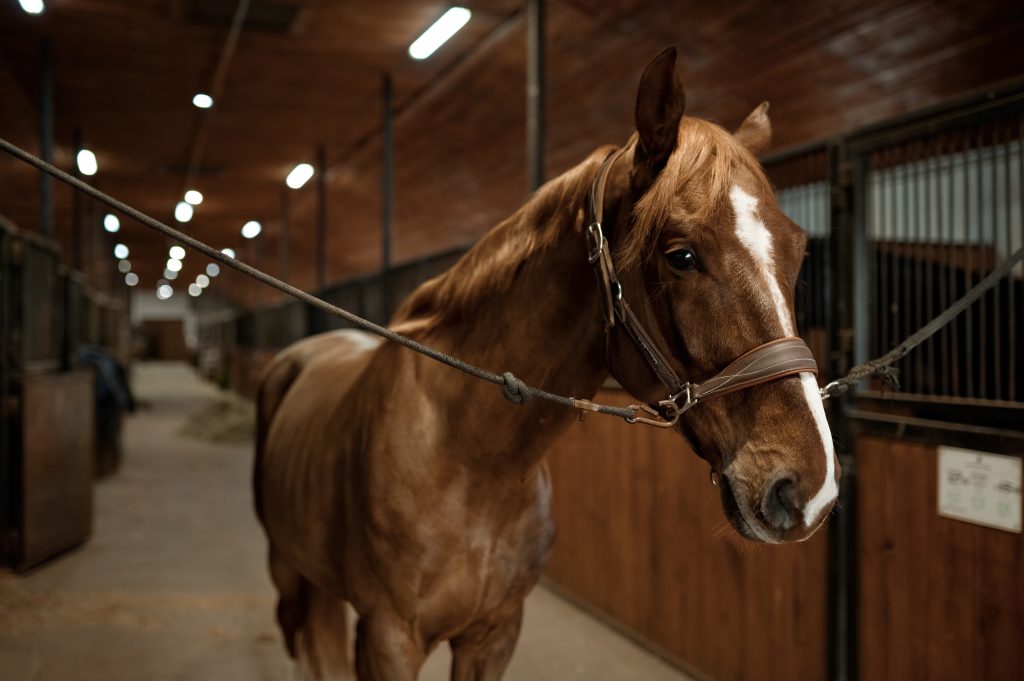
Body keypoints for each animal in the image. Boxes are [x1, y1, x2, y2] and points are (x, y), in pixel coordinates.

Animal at [251, 45, 835, 675]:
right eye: (681, 256)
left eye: (799, 252)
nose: (809, 488)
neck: (471, 463)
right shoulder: (387, 640)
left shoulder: (496, 633)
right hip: (286, 569)